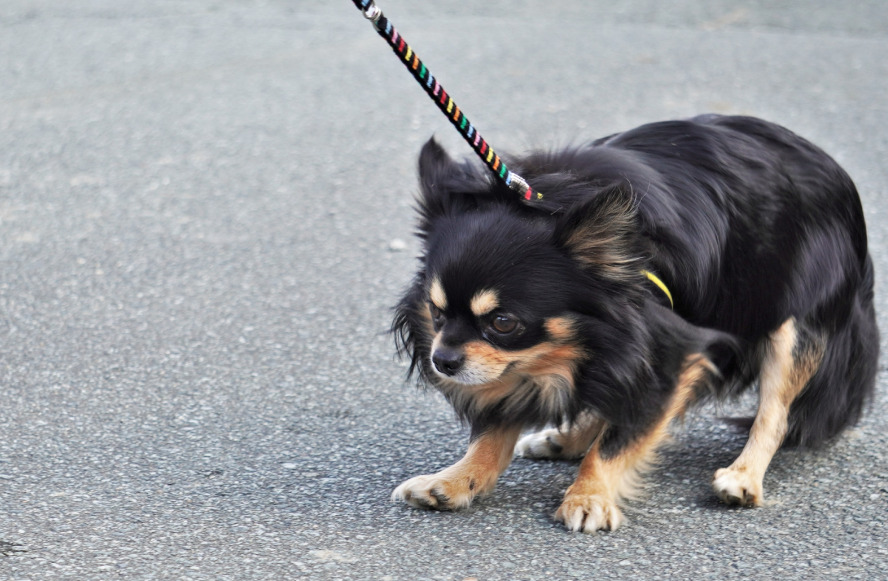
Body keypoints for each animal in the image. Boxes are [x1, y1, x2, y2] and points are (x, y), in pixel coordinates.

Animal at [390, 113, 880, 532]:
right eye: (436, 312)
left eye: (503, 322)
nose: (442, 360)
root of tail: (832, 168)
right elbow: (494, 430)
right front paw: (457, 479)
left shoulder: (670, 347)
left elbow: (620, 438)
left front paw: (588, 496)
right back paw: (568, 439)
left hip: (793, 326)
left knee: (774, 414)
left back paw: (743, 477)